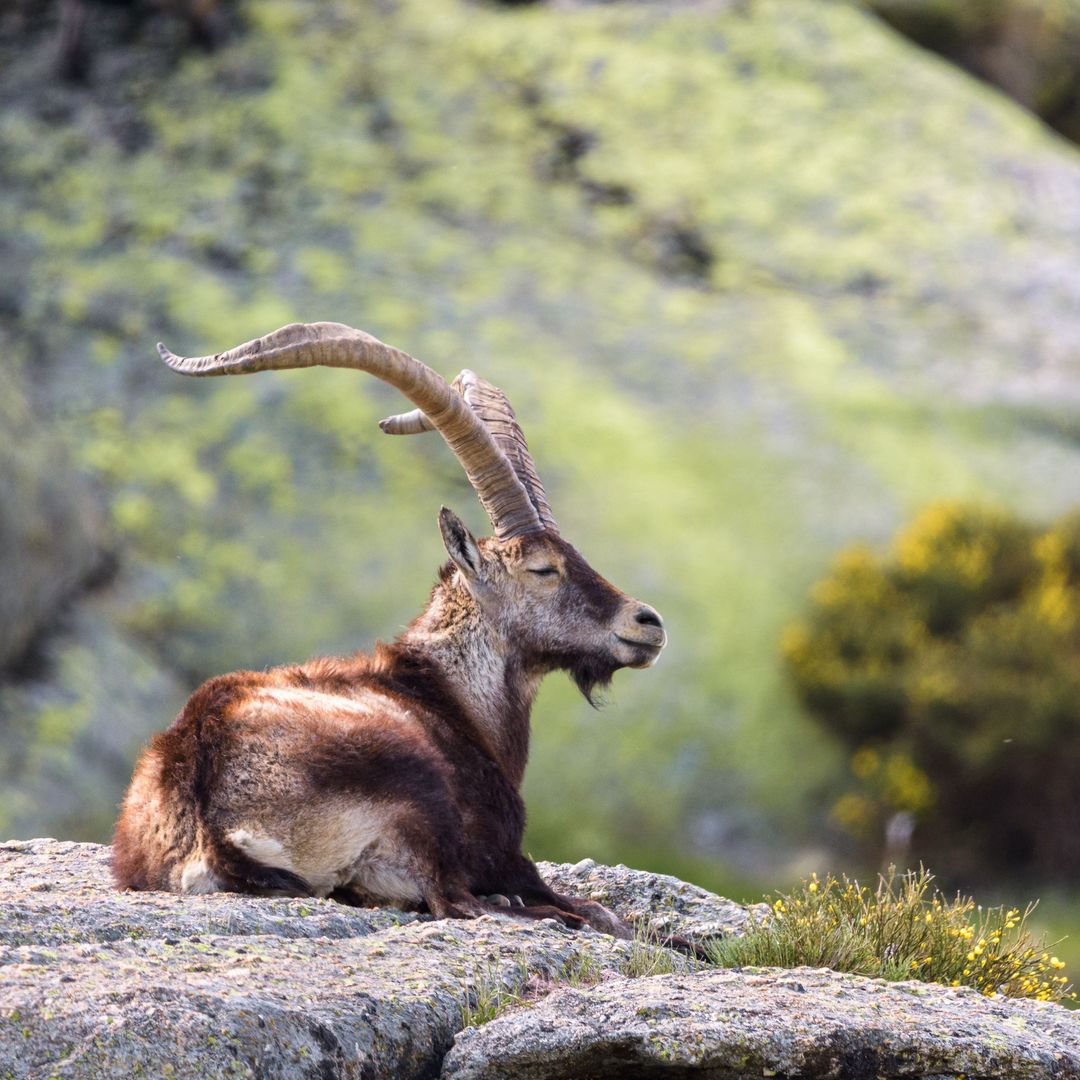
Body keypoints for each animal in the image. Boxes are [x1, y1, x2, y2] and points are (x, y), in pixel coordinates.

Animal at [112, 322, 667, 940]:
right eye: (543, 568)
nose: (647, 623)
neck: (447, 695)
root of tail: (209, 815)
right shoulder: (503, 852)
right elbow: (591, 908)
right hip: (414, 786)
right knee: (459, 901)